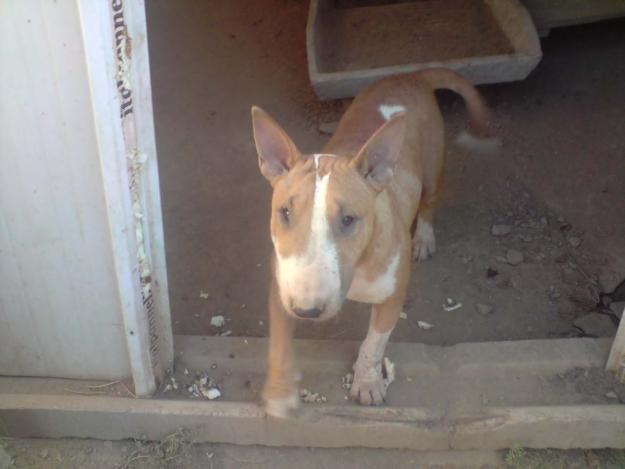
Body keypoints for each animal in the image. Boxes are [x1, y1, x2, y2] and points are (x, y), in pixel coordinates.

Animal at [251, 66, 494, 416]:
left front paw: (367, 383)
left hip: (433, 166)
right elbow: (280, 344)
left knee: (430, 202)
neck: (357, 270)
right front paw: (280, 392)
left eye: (348, 219)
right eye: (284, 212)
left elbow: (374, 343)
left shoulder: (392, 298)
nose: (307, 310)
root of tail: (410, 76)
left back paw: (424, 238)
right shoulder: (281, 286)